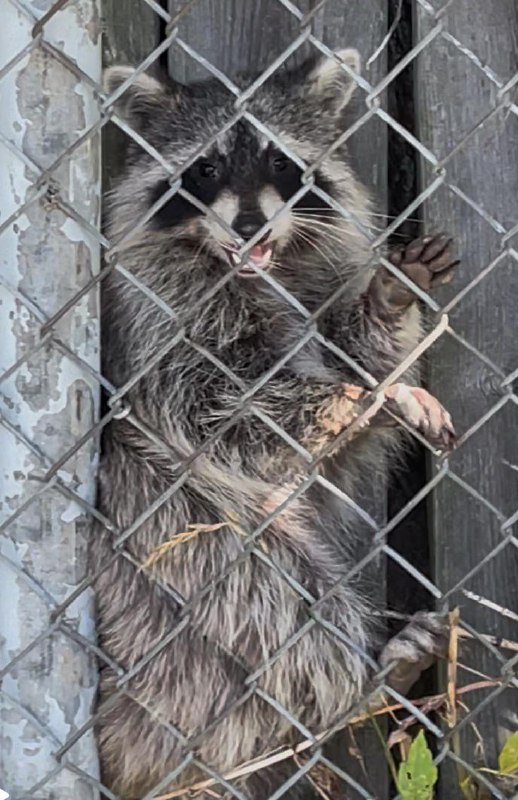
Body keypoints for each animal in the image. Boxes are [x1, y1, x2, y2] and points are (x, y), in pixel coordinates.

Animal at [93, 50, 460, 800]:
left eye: (282, 163)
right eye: (205, 168)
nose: (249, 226)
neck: (257, 270)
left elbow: (350, 344)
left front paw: (385, 310)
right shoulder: (161, 318)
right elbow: (214, 405)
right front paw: (356, 399)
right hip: (166, 535)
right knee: (280, 602)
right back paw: (366, 681)